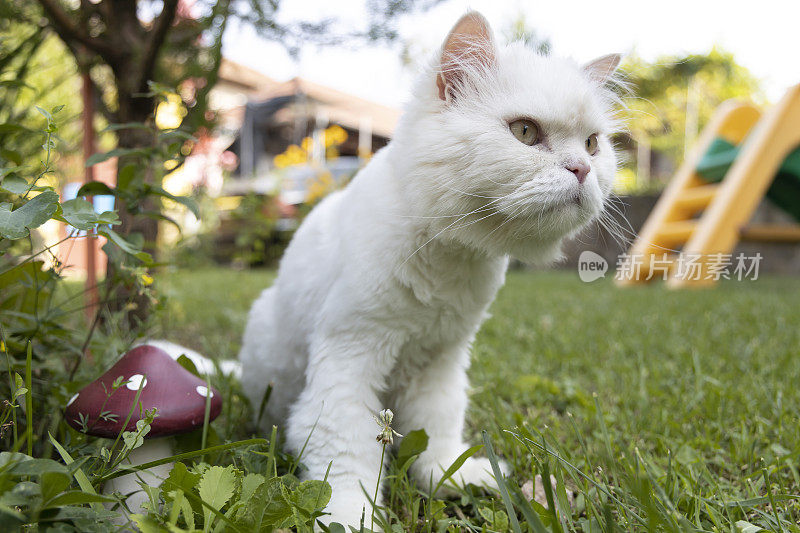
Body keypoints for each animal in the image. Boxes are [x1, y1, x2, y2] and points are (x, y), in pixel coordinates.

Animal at [241, 10, 620, 524]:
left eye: (593, 144)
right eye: (525, 132)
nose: (582, 169)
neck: (450, 257)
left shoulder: (440, 361)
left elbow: (437, 433)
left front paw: (454, 479)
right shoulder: (349, 358)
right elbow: (345, 454)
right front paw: (349, 517)